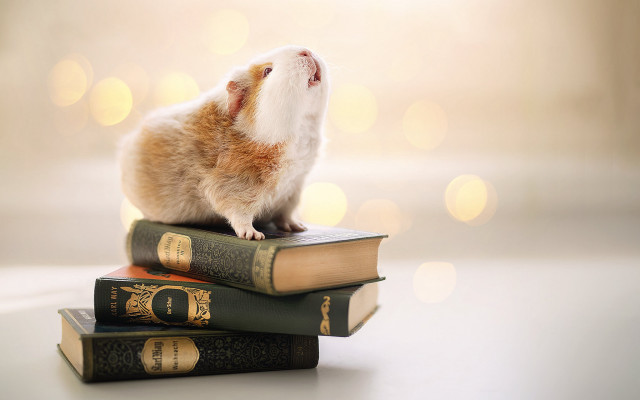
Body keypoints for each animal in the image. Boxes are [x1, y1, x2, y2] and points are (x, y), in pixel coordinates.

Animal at [119, 46, 330, 240]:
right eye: (267, 71)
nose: (306, 51)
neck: (300, 130)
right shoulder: (235, 187)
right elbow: (239, 214)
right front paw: (253, 235)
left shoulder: (292, 189)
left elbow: (285, 215)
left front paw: (298, 228)